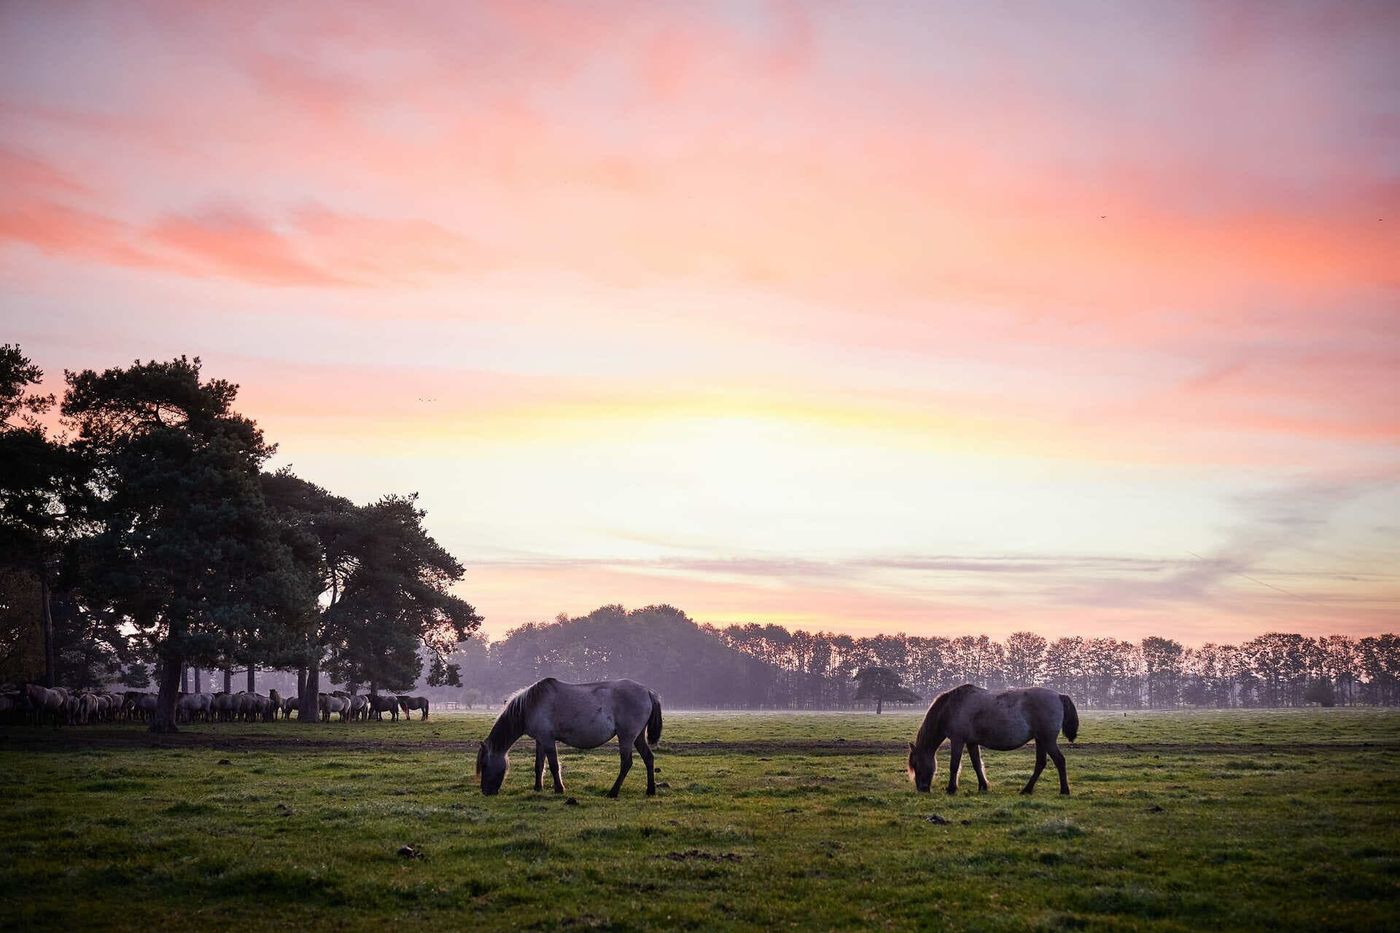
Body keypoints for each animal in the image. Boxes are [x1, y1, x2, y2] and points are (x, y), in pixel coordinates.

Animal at [476, 672, 660, 795]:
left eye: (484, 764)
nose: (486, 792)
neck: (530, 705)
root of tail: (648, 691)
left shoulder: (548, 740)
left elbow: (553, 765)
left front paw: (559, 789)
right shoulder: (540, 740)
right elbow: (539, 765)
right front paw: (538, 788)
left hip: (626, 737)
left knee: (626, 763)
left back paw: (613, 792)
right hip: (637, 737)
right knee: (648, 758)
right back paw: (650, 790)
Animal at [907, 680, 1080, 795]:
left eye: (916, 765)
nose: (922, 789)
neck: (951, 707)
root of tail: (1059, 695)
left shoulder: (957, 740)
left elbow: (954, 765)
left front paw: (951, 789)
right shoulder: (971, 742)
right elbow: (977, 764)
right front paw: (983, 786)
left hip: (1047, 740)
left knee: (1059, 761)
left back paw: (1064, 790)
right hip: (1040, 740)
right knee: (1041, 763)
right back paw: (1027, 789)